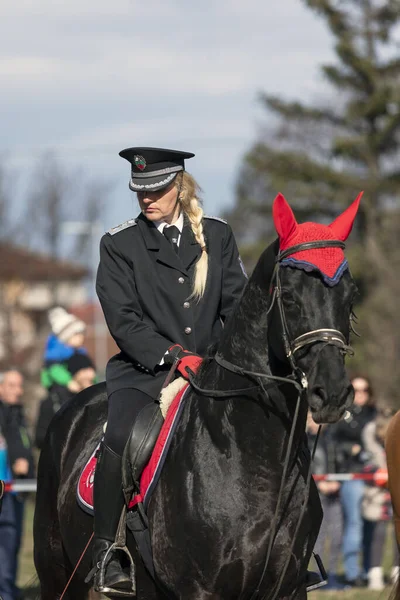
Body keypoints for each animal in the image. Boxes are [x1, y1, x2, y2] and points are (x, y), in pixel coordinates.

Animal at [33, 195, 360, 596]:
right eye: (290, 297)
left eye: (349, 295)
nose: (333, 393)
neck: (257, 458)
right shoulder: (200, 589)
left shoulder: (289, 588)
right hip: (58, 575)